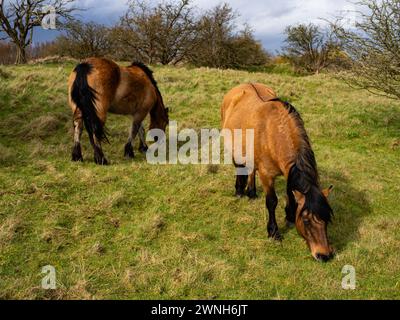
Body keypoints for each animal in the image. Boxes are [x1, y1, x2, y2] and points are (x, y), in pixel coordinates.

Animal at [222, 83, 334, 262]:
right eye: (306, 220)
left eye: (326, 219)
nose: (323, 255)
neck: (274, 132)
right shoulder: (267, 176)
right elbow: (272, 201)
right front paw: (273, 232)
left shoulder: (288, 172)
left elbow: (291, 195)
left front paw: (289, 216)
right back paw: (239, 191)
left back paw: (251, 192)